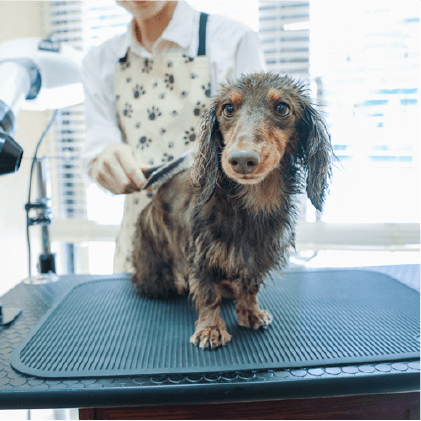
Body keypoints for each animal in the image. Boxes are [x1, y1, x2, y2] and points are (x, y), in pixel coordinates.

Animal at [132, 72, 335, 350]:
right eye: (228, 109)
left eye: (282, 108)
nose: (242, 160)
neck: (254, 203)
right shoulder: (202, 254)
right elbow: (207, 294)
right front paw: (211, 329)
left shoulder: (257, 256)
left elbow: (250, 286)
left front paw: (250, 312)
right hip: (155, 274)